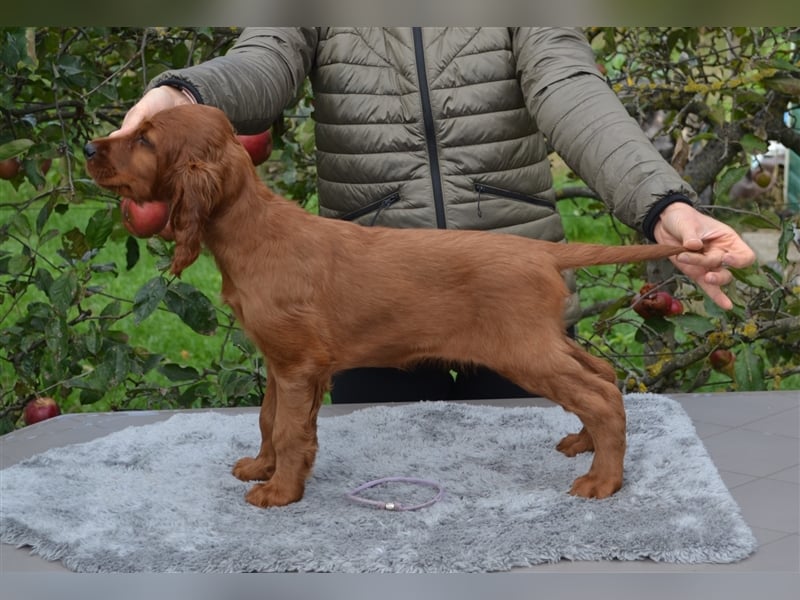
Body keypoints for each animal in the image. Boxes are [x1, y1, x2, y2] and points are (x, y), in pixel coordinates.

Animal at [86, 105, 688, 508]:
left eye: (145, 139)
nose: (91, 148)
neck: (253, 232)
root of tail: (540, 250)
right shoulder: (282, 363)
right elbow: (268, 418)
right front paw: (261, 468)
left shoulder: (299, 364)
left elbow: (289, 429)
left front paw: (279, 492)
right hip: (543, 341)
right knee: (603, 376)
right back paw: (584, 444)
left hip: (524, 350)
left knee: (600, 395)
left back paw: (603, 480)